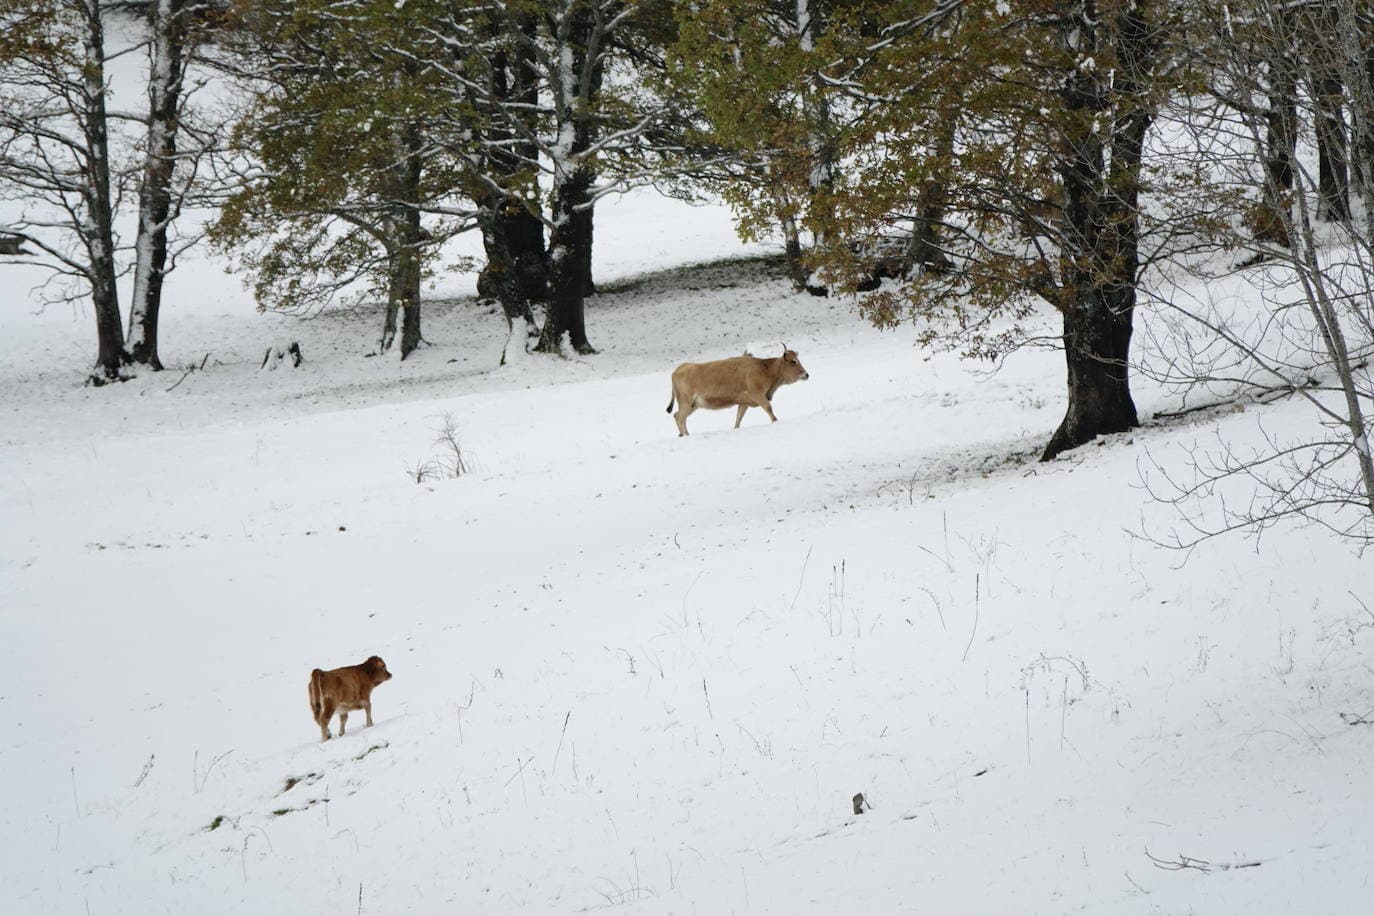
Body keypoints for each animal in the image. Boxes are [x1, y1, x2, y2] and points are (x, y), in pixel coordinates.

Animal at [662, 348, 802, 439]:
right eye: (793, 361)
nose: (805, 374)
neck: (764, 368)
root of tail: (679, 369)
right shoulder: (758, 395)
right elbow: (768, 408)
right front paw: (775, 421)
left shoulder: (744, 402)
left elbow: (739, 417)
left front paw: (735, 428)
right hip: (686, 404)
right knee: (680, 417)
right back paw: (686, 435)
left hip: (693, 405)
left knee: (677, 416)